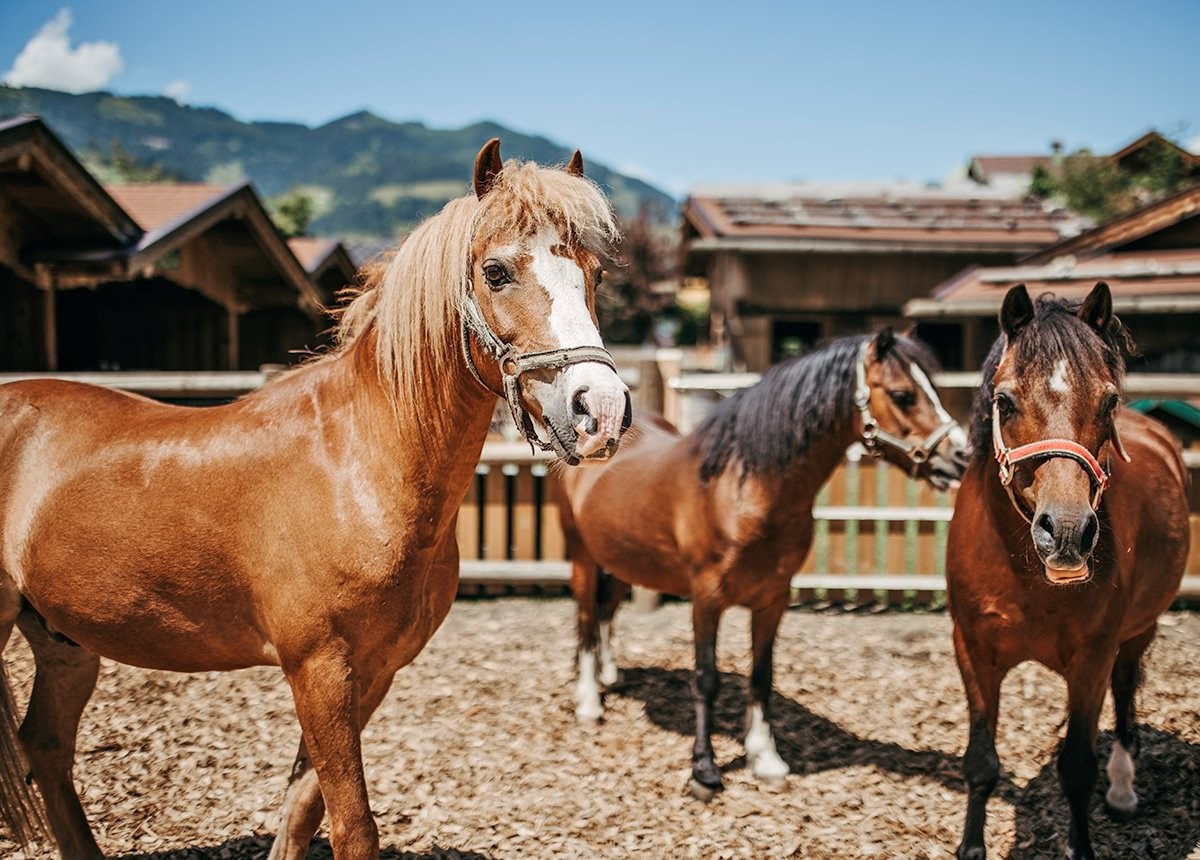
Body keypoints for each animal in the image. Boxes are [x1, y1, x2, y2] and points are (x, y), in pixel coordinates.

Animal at [0, 139, 631, 860]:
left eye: (594, 275)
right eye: (495, 272)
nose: (601, 411)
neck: (358, 464)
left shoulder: (374, 671)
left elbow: (302, 809)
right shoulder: (318, 670)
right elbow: (352, 823)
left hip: (65, 642)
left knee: (47, 747)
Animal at [555, 329, 970, 799]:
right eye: (903, 395)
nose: (960, 456)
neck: (745, 489)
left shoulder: (773, 599)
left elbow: (762, 676)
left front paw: (765, 757)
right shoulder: (706, 598)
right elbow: (706, 678)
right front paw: (704, 769)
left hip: (622, 558)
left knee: (606, 613)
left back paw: (609, 677)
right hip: (583, 557)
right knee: (587, 620)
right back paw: (589, 701)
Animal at [946, 282, 1190, 860]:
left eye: (1109, 400)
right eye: (1004, 401)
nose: (1067, 533)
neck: (1023, 576)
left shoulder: (1092, 659)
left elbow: (1078, 767)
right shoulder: (973, 650)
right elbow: (981, 763)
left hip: (1138, 633)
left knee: (1125, 696)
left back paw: (1122, 790)